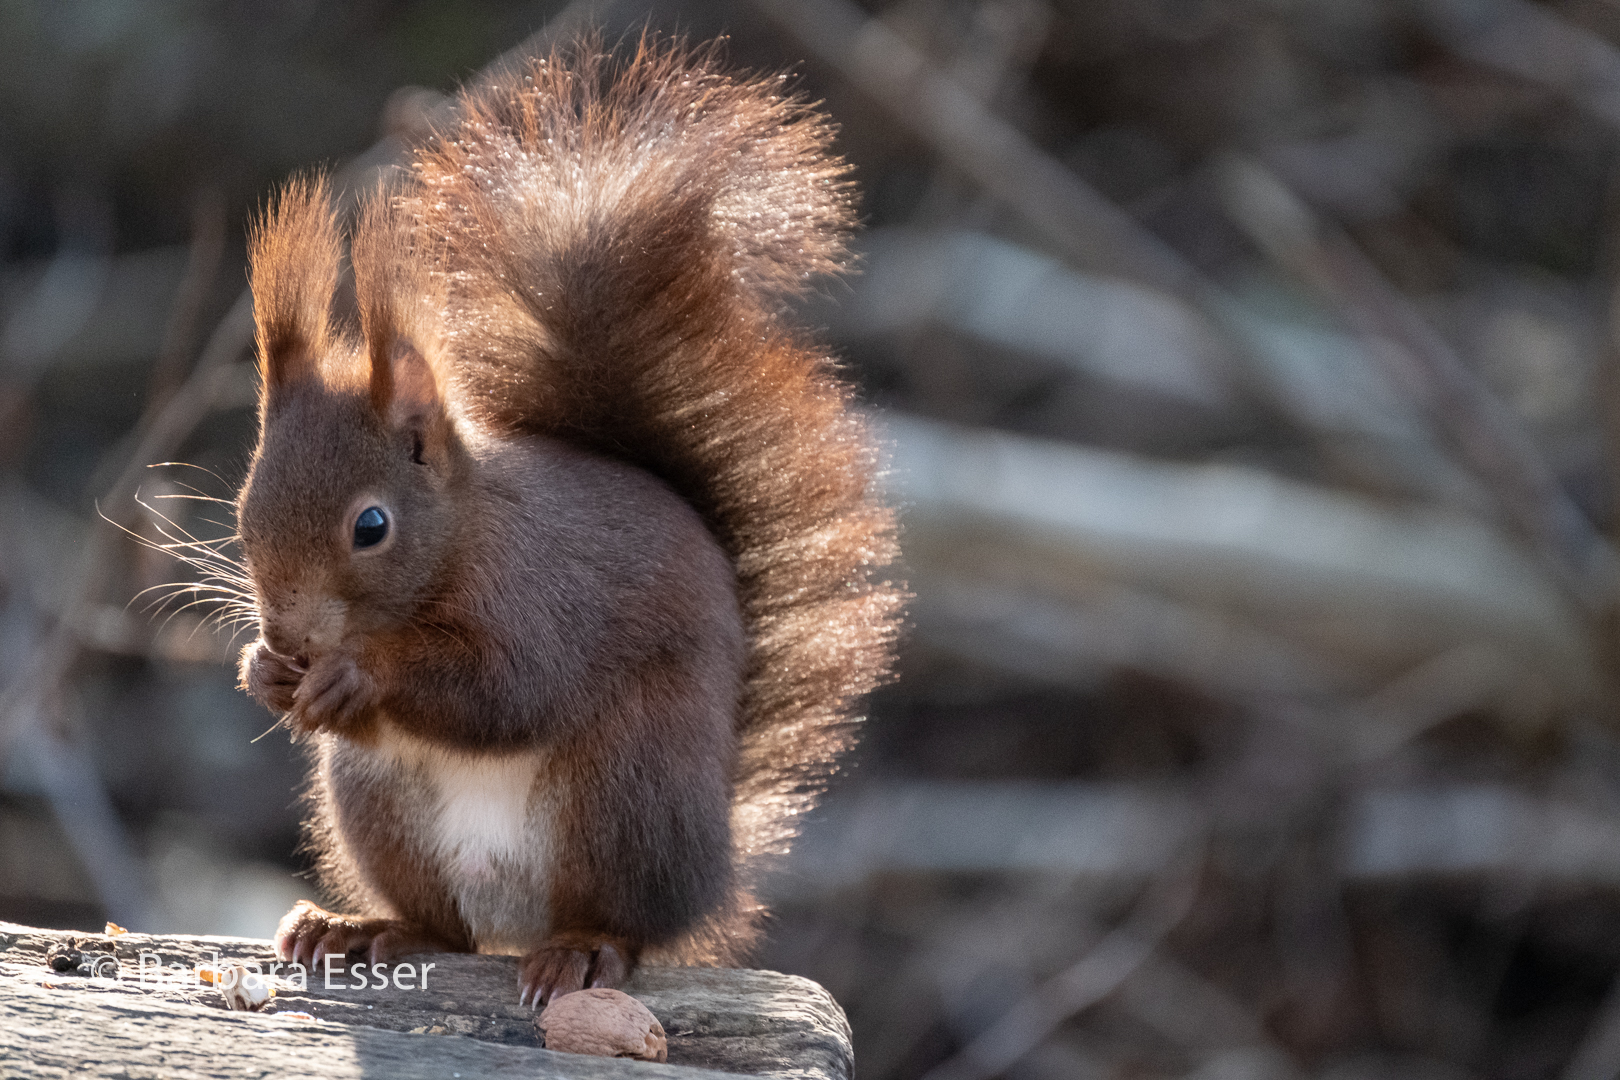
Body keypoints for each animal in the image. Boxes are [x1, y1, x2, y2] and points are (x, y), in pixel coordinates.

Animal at [234, 38, 907, 1010]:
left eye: (371, 526)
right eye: (244, 510)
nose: (288, 635)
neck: (464, 539)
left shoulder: (540, 598)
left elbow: (507, 693)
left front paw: (357, 673)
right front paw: (264, 673)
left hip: (623, 794)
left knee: (624, 922)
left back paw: (584, 952)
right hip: (379, 806)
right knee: (444, 929)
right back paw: (360, 927)